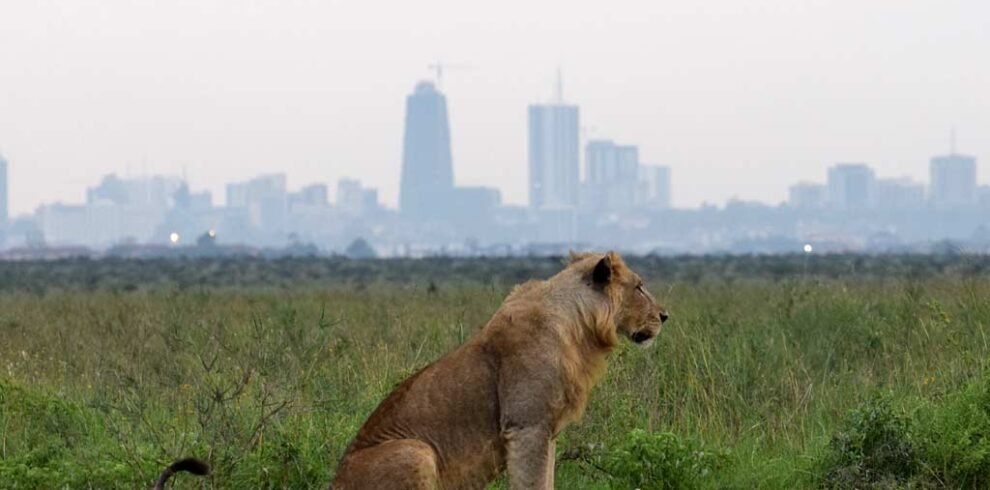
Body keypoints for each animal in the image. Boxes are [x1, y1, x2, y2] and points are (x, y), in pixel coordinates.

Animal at [332, 251, 668, 488]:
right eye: (639, 287)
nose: (665, 316)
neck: (578, 328)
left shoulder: (547, 432)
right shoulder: (527, 425)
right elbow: (532, 484)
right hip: (416, 449)